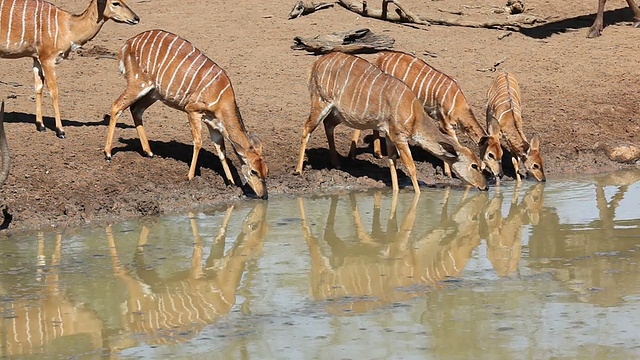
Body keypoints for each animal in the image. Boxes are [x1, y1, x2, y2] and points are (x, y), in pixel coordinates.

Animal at [0, 0, 139, 139]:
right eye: (115, 3)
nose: (136, 18)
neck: (67, 26)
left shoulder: (36, 58)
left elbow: (38, 87)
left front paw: (40, 126)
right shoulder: (48, 59)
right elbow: (54, 91)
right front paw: (60, 131)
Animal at [104, 30, 268, 200]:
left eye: (266, 171)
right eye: (254, 171)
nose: (264, 196)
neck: (222, 97)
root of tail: (127, 44)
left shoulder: (213, 123)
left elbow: (220, 150)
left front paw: (231, 182)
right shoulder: (193, 110)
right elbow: (198, 142)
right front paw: (190, 176)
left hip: (153, 92)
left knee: (136, 109)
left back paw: (149, 152)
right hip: (138, 83)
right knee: (116, 106)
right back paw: (108, 153)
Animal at [296, 51, 484, 194]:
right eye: (474, 165)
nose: (484, 186)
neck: (414, 114)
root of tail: (317, 63)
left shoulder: (389, 135)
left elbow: (392, 161)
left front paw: (394, 191)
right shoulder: (400, 137)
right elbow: (411, 167)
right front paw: (418, 194)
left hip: (338, 113)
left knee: (328, 124)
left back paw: (336, 163)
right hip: (320, 102)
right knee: (306, 128)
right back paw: (298, 170)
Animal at [350, 50, 504, 180]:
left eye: (501, 153)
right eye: (490, 154)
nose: (500, 174)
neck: (457, 104)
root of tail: (381, 58)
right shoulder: (445, 124)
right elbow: (452, 144)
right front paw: (448, 173)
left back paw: (378, 153)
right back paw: (353, 155)